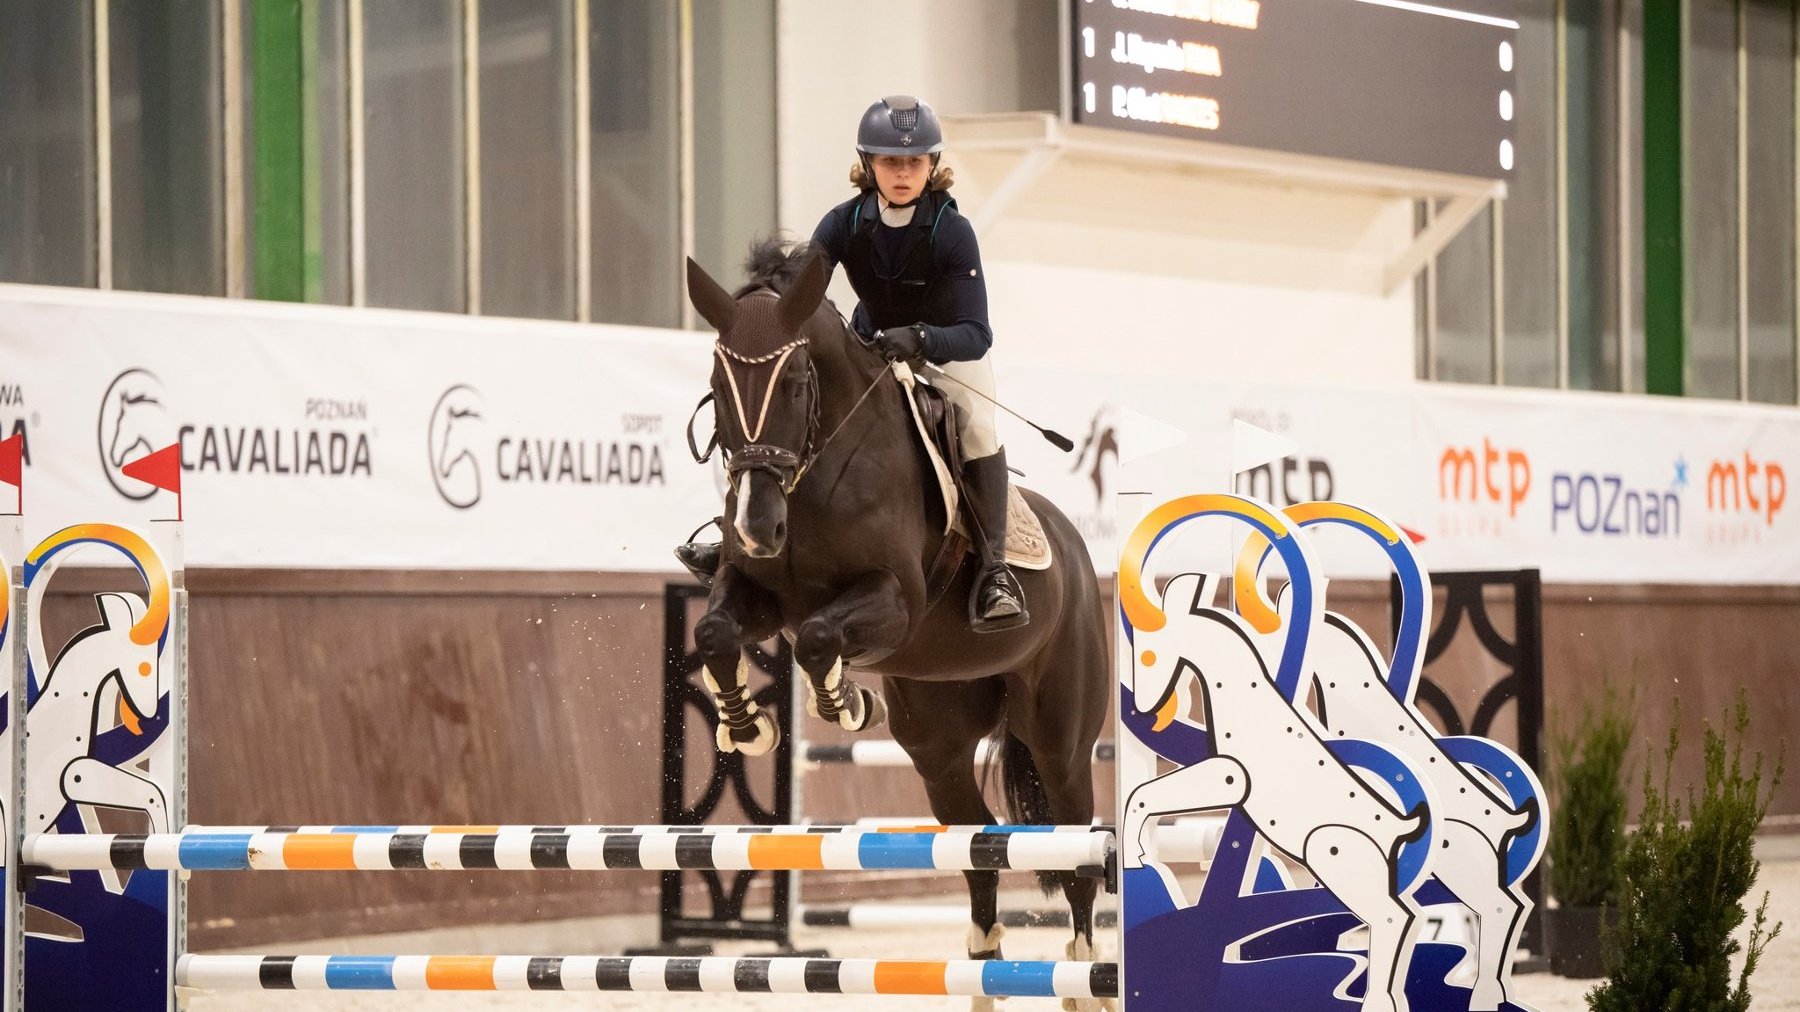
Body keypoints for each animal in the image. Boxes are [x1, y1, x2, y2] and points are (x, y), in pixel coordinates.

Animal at [687, 239, 1108, 993]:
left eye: (796, 382)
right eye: (717, 379)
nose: (759, 526)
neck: (813, 475)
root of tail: (1076, 553)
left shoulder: (897, 602)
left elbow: (819, 637)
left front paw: (845, 702)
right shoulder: (755, 591)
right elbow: (715, 632)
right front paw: (748, 724)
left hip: (1060, 739)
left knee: (1076, 852)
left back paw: (1083, 973)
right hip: (937, 744)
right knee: (978, 847)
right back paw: (983, 967)